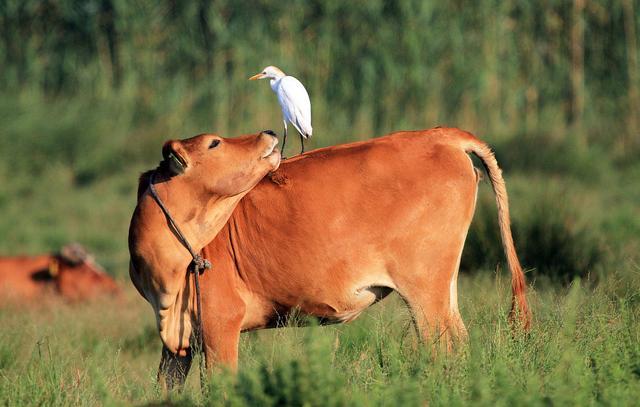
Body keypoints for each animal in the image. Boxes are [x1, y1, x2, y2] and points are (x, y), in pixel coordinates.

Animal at [129, 127, 528, 388]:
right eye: (214, 143)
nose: (268, 131)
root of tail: (439, 135)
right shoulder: (178, 342)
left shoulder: (220, 323)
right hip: (443, 288)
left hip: (425, 290)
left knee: (443, 347)